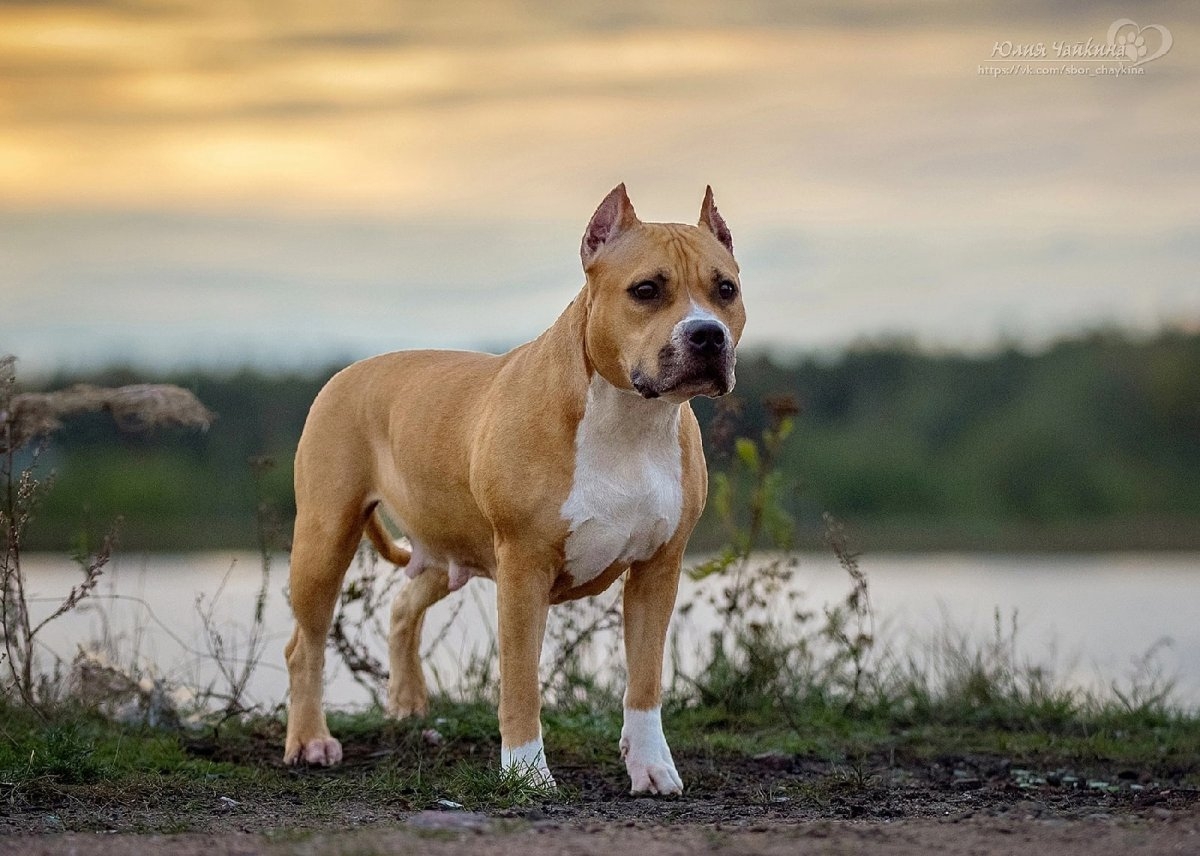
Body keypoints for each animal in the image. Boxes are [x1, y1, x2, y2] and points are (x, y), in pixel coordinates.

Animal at [284, 183, 744, 792]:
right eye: (646, 290)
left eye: (725, 290)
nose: (707, 334)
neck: (630, 419)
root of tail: (347, 371)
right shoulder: (524, 568)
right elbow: (522, 682)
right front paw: (527, 774)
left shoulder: (657, 569)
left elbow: (644, 683)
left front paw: (650, 766)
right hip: (325, 537)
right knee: (304, 646)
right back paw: (311, 741)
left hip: (448, 545)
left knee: (404, 609)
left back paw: (407, 705)